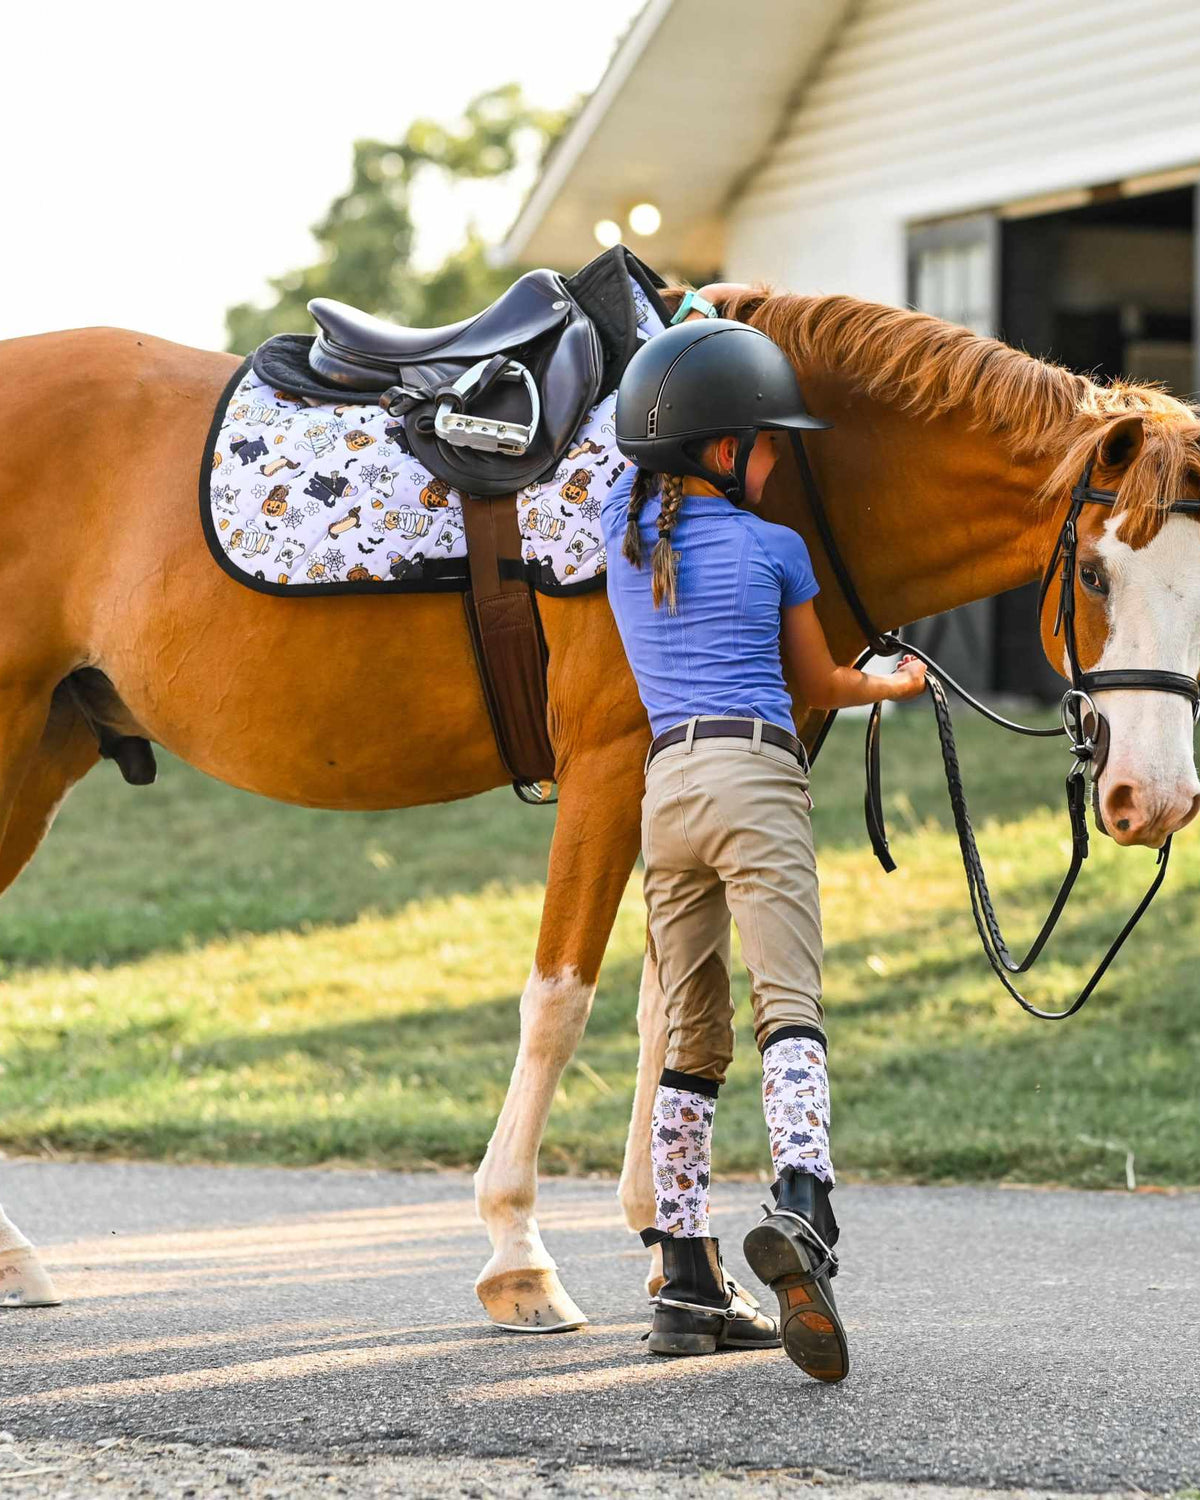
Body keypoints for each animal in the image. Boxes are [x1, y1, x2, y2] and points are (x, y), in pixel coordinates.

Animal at [1, 290, 1198, 1326]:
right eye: (1095, 576)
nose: (1156, 800)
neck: (774, 478)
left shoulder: (695, 777)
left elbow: (667, 1009)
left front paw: (677, 1250)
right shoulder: (614, 767)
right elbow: (561, 1001)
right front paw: (518, 1255)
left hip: (45, 753)